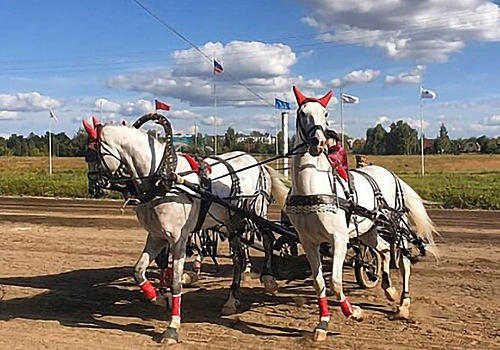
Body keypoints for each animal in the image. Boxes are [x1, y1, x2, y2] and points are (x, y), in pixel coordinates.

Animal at [82, 118, 286, 344]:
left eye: (93, 155)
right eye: (86, 155)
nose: (94, 188)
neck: (163, 179)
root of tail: (257, 162)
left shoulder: (178, 239)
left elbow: (176, 282)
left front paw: (172, 327)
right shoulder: (157, 236)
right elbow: (138, 271)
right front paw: (159, 298)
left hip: (255, 211)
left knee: (267, 238)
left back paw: (268, 279)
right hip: (232, 222)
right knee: (238, 259)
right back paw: (232, 300)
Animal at [286, 86, 438, 340]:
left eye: (325, 113)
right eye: (302, 113)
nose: (318, 142)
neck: (313, 189)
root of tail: (391, 175)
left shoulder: (339, 239)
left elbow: (336, 282)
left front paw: (354, 312)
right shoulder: (308, 242)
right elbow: (319, 283)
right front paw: (322, 324)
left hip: (397, 227)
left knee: (404, 261)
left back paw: (403, 304)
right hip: (369, 230)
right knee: (383, 251)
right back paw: (388, 288)